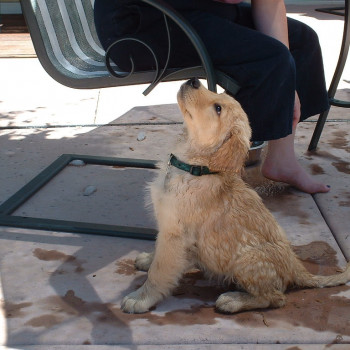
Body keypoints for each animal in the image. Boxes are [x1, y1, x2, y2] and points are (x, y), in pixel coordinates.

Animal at [121, 78, 350, 314]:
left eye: (218, 109)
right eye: (218, 96)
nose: (194, 80)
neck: (192, 166)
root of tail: (297, 268)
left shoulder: (175, 233)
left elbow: (160, 270)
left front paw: (141, 298)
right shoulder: (166, 226)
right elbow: (158, 251)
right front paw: (148, 259)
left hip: (248, 260)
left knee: (274, 298)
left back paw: (233, 300)